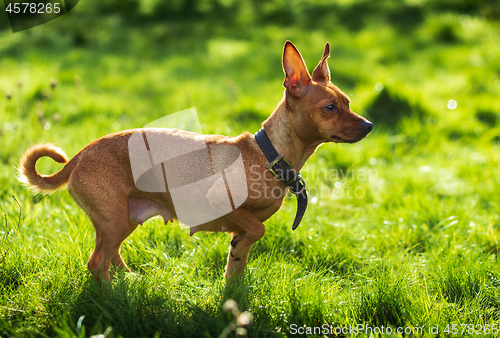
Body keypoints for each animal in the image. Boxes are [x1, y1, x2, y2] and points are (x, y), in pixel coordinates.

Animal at [18, 41, 372, 282]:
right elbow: (256, 228)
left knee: (110, 255)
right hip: (114, 219)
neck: (268, 154)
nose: (369, 125)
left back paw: (129, 281)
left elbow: (237, 263)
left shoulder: (240, 233)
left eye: (348, 102)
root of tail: (81, 154)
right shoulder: (225, 204)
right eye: (330, 108)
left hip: (121, 219)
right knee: (97, 263)